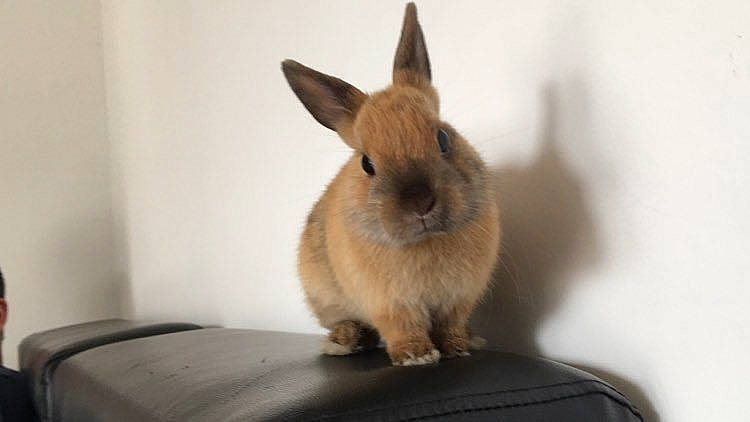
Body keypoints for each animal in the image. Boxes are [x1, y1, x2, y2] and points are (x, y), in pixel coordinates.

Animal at [281, 2, 501, 366]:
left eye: (443, 137)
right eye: (366, 163)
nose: (420, 202)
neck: (425, 240)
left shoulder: (459, 298)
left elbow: (451, 325)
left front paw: (457, 348)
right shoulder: (389, 303)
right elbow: (402, 327)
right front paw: (416, 356)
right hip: (323, 295)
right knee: (344, 322)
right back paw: (344, 341)